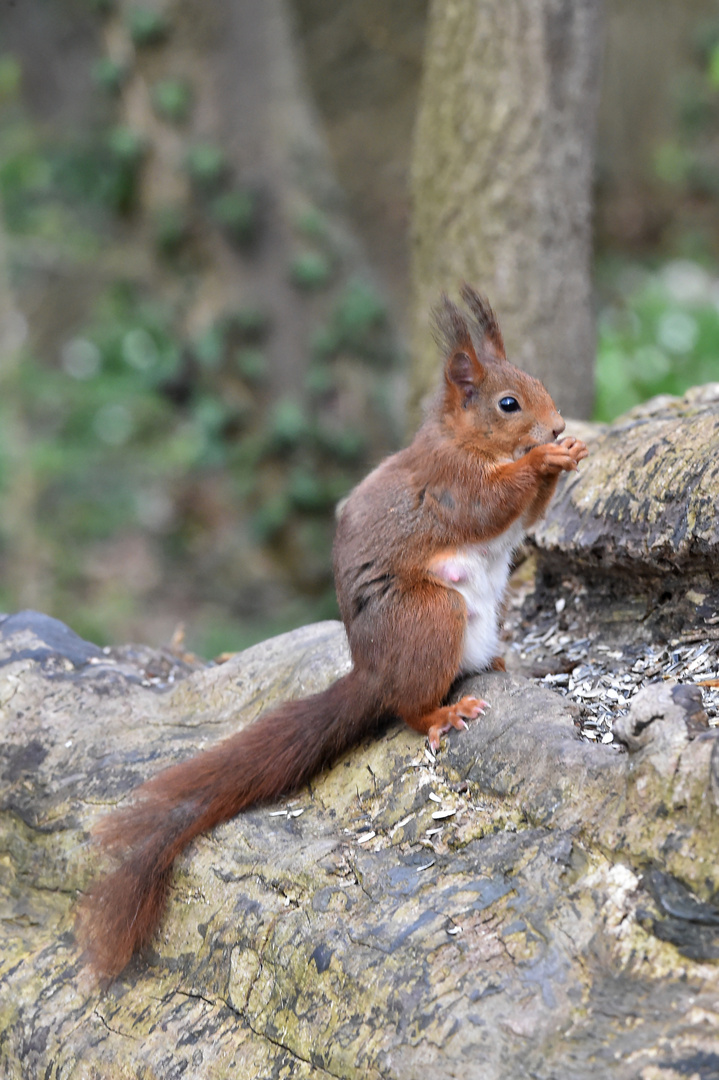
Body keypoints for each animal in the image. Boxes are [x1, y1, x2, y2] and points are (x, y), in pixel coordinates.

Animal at [75, 285, 587, 980]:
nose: (557, 426)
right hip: (431, 617)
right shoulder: (450, 483)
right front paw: (545, 457)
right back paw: (441, 715)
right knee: (408, 707)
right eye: (508, 403)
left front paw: (569, 454)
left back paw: (500, 665)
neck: (466, 441)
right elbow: (492, 504)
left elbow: (527, 514)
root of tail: (372, 673)